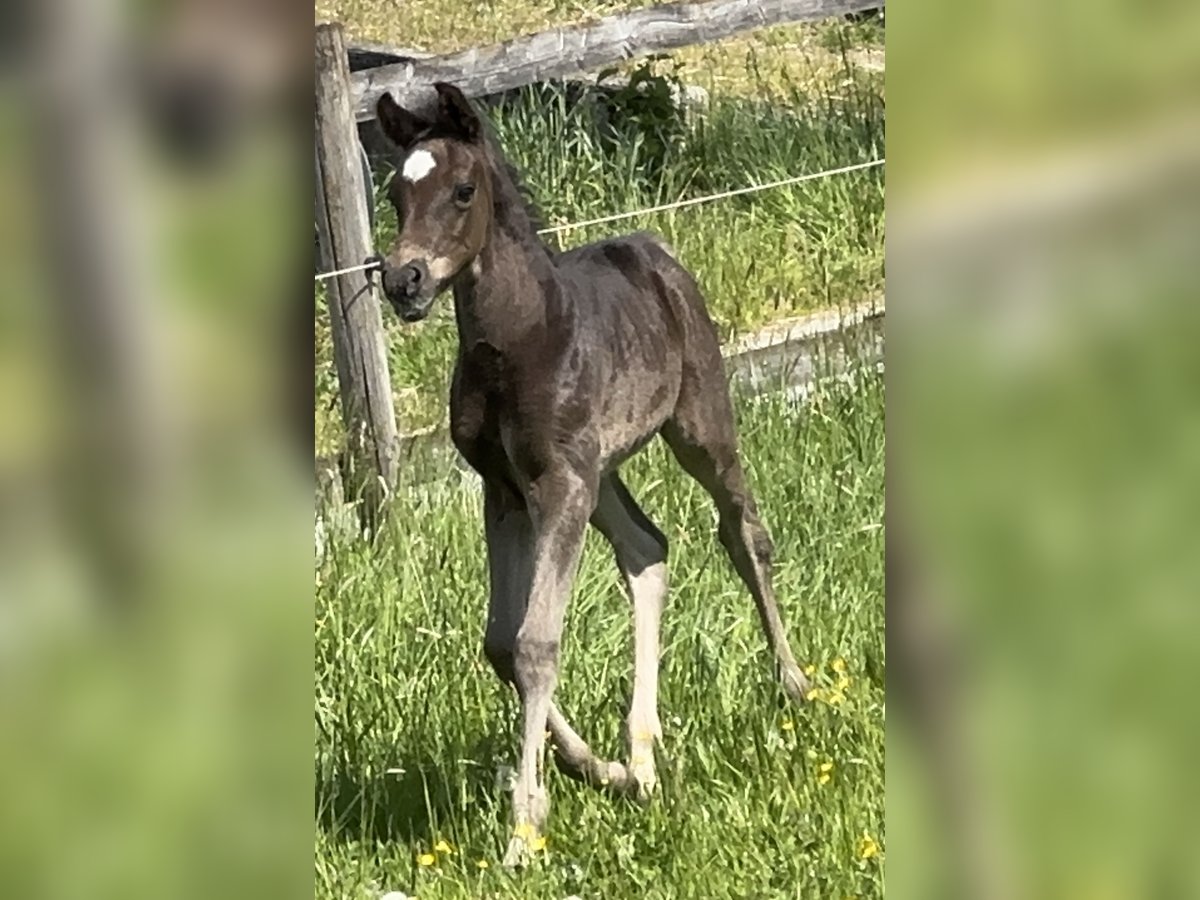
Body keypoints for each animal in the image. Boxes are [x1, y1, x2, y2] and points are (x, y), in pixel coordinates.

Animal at [373, 82, 811, 866]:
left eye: (462, 190)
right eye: (396, 192)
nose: (403, 280)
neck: (516, 343)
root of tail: (650, 245)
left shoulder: (558, 486)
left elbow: (535, 642)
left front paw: (524, 827)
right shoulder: (507, 490)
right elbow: (502, 643)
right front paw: (595, 769)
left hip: (696, 427)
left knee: (742, 531)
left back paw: (792, 683)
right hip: (601, 475)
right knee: (647, 549)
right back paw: (639, 759)